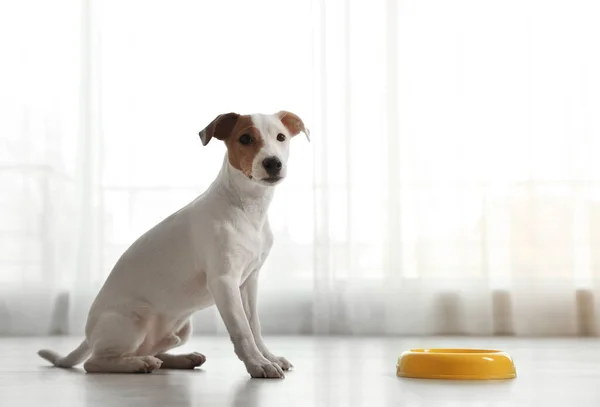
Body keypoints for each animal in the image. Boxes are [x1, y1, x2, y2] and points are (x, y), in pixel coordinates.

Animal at [38, 110, 310, 378]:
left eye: (281, 137)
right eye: (245, 139)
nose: (273, 163)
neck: (248, 207)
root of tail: (88, 334)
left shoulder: (249, 282)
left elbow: (254, 326)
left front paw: (269, 357)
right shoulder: (224, 281)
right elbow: (242, 330)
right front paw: (258, 364)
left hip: (182, 330)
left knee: (152, 351)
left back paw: (179, 359)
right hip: (135, 319)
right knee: (95, 362)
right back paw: (137, 364)